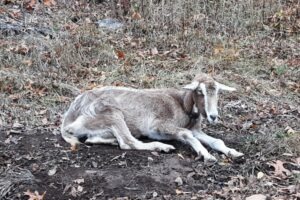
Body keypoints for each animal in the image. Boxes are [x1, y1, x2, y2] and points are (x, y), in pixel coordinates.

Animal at [61, 73, 244, 162]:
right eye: (200, 91)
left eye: (218, 92)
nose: (213, 116)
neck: (181, 104)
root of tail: (68, 120)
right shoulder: (158, 126)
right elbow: (186, 134)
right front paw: (207, 156)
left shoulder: (196, 129)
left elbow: (216, 141)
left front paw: (234, 153)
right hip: (110, 113)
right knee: (128, 143)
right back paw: (163, 147)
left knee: (92, 139)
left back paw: (111, 141)